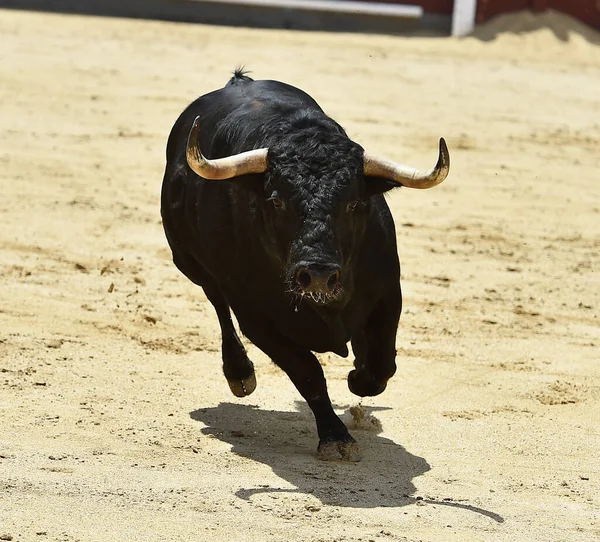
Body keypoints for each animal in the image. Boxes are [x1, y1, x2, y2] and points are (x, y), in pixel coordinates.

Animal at [161, 71, 450, 464]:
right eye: (276, 200)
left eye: (354, 203)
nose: (318, 275)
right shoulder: (256, 318)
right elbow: (307, 372)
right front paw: (335, 436)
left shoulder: (388, 294)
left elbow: (380, 364)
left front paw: (358, 377)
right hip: (190, 263)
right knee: (217, 301)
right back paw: (239, 374)